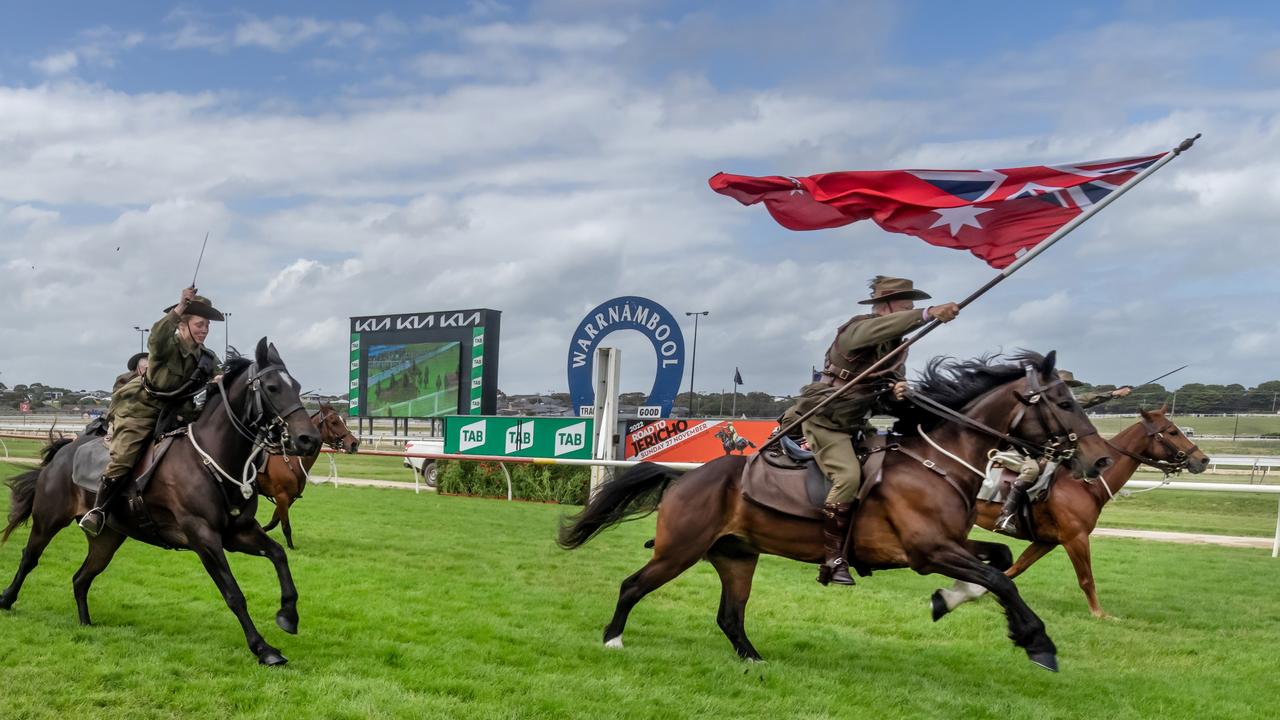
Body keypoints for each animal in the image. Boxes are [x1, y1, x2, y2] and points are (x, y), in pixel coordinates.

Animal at [0, 338, 320, 666]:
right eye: (272, 387)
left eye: (296, 386)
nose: (310, 439)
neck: (211, 459)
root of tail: (63, 452)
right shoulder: (203, 537)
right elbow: (233, 594)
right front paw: (263, 648)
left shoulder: (238, 532)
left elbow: (279, 554)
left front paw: (288, 615)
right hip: (48, 520)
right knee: (29, 557)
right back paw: (7, 599)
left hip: (107, 539)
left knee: (81, 578)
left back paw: (85, 623)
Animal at [258, 399, 360, 545]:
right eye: (334, 422)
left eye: (344, 421)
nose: (354, 443)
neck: (291, 460)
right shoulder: (281, 496)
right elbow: (286, 526)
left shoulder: (289, 498)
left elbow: (274, 522)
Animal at [558, 351, 1111, 671]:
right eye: (1064, 402)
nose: (1099, 459)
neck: (937, 462)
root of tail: (684, 477)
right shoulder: (929, 551)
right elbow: (1003, 581)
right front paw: (1037, 642)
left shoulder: (951, 545)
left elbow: (999, 561)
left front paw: (950, 599)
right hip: (679, 551)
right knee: (633, 586)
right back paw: (612, 641)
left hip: (736, 557)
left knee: (730, 616)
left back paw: (754, 659)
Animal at [931, 404, 1208, 617]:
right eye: (1172, 431)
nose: (1203, 460)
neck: (1084, 483)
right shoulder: (1076, 538)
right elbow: (1086, 578)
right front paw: (1099, 613)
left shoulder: (1047, 541)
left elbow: (1017, 567)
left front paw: (981, 591)